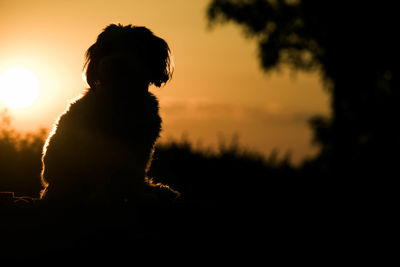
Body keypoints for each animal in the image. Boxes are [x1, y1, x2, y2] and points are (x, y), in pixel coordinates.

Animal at [40, 24, 177, 207]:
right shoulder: (97, 145)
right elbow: (99, 173)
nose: (116, 62)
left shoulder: (141, 146)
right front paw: (102, 197)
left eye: (134, 47)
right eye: (107, 48)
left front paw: (140, 196)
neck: (122, 98)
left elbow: (135, 175)